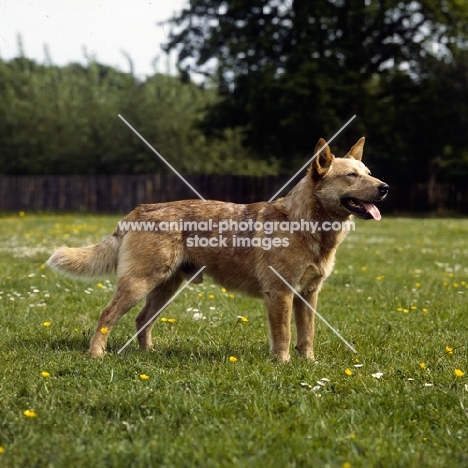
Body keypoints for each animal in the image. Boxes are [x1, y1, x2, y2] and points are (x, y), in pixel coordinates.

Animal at [46, 137, 388, 360]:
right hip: (139, 283)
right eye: (351, 175)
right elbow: (284, 336)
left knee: (142, 320)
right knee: (107, 315)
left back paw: (148, 355)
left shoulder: (308, 294)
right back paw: (96, 355)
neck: (307, 225)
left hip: (165, 288)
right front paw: (283, 365)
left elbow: (307, 335)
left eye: (369, 173)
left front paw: (309, 364)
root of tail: (138, 210)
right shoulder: (280, 293)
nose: (386, 187)